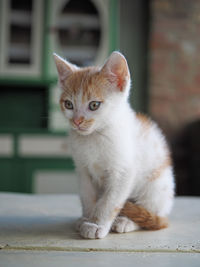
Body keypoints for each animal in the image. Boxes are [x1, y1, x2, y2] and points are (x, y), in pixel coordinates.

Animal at [54, 51, 174, 240]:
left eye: (94, 105)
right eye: (68, 104)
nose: (77, 121)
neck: (94, 137)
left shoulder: (124, 172)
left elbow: (109, 201)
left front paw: (96, 224)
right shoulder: (83, 170)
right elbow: (88, 196)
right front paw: (86, 219)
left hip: (156, 187)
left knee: (155, 218)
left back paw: (126, 221)